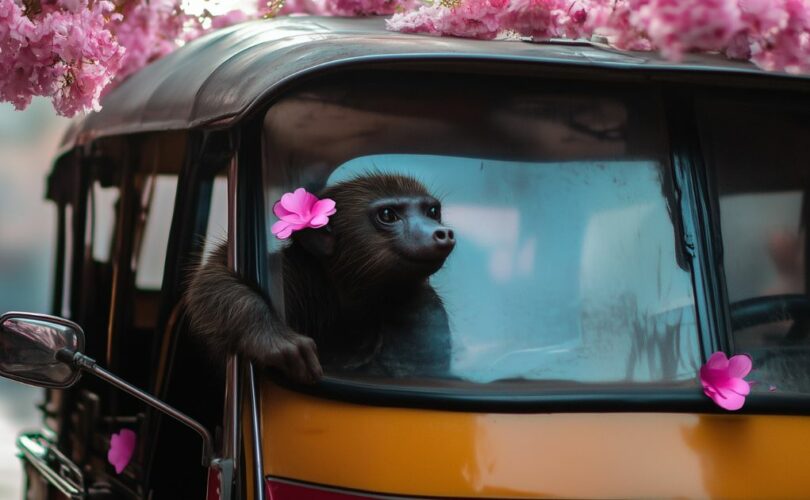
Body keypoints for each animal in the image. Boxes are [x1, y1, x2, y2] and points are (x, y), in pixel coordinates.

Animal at [185, 174, 458, 384]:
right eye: (388, 215)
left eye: (432, 211)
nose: (441, 232)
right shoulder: (292, 274)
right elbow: (215, 273)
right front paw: (270, 334)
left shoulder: (426, 307)